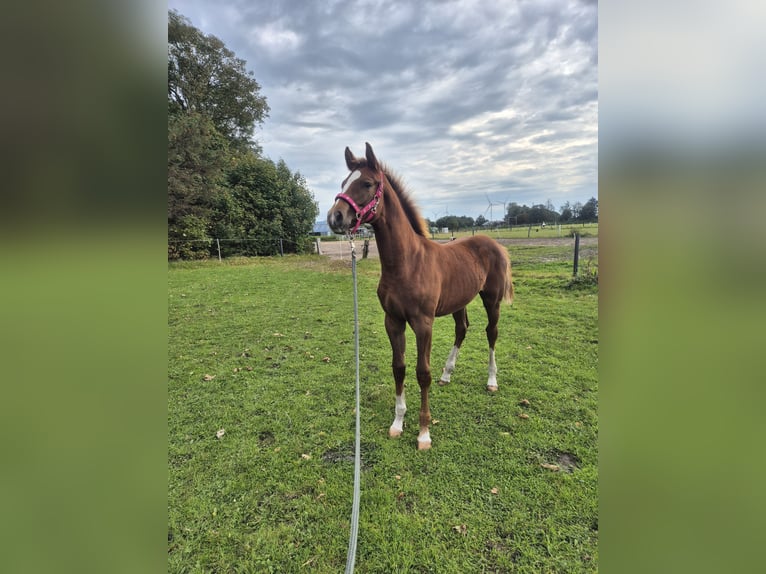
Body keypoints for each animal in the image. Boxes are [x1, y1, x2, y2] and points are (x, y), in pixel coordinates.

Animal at [327, 143, 513, 450]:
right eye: (343, 183)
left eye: (367, 183)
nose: (335, 217)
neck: (407, 263)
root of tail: (494, 243)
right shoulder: (393, 321)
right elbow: (399, 367)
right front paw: (397, 423)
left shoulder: (424, 323)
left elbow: (422, 373)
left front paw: (424, 432)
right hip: (459, 301)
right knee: (462, 329)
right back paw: (446, 375)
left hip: (491, 299)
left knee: (491, 332)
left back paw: (492, 380)